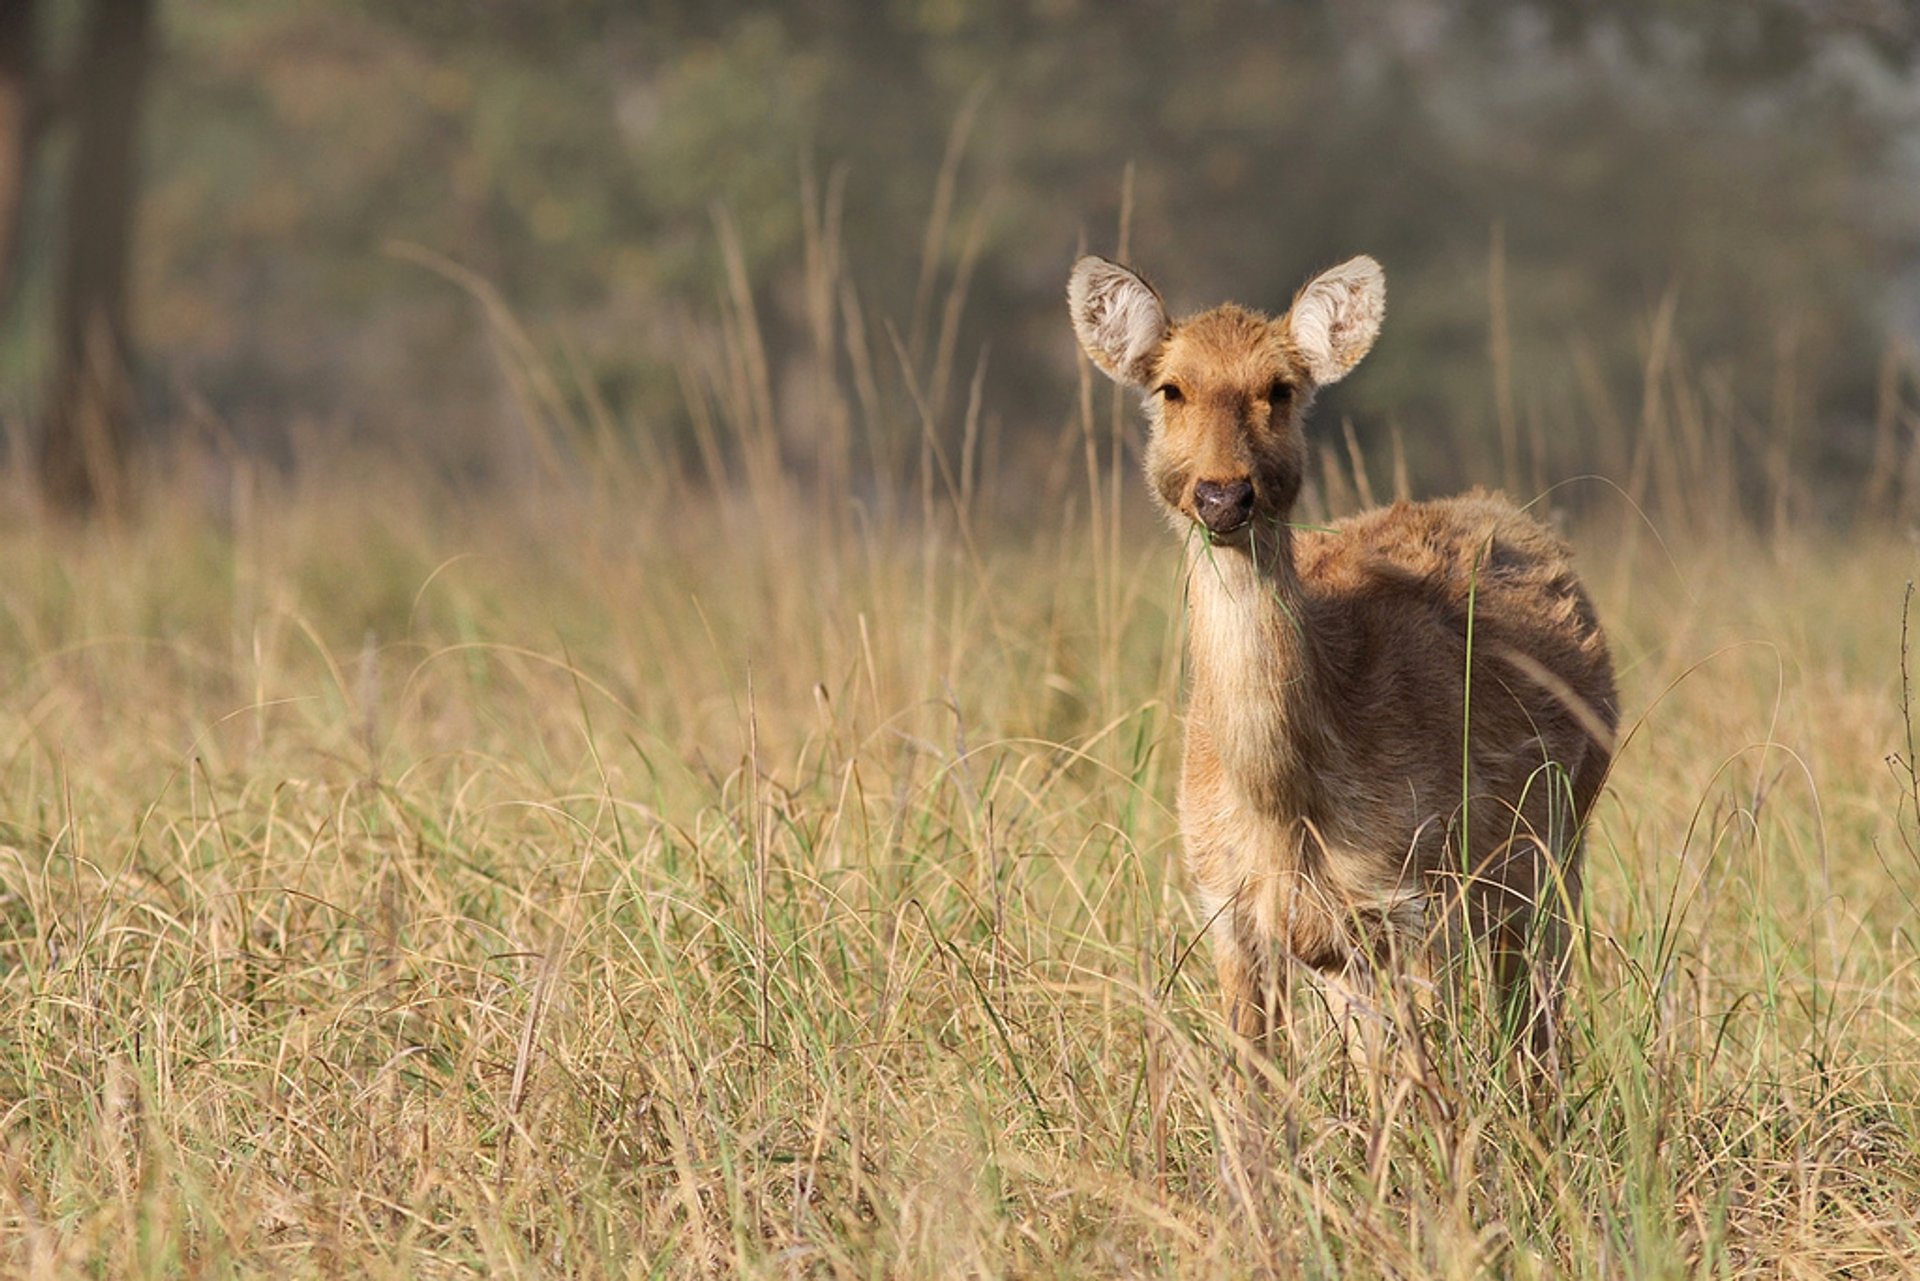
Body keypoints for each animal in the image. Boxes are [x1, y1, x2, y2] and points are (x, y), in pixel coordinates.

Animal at [1067, 253, 1620, 1075]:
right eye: (1171, 387)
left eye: (1280, 388)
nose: (1223, 496)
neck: (1286, 807)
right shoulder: (1228, 909)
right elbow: (1257, 1091)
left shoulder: (1416, 895)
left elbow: (1427, 1086)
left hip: (1555, 853)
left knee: (1538, 1023)